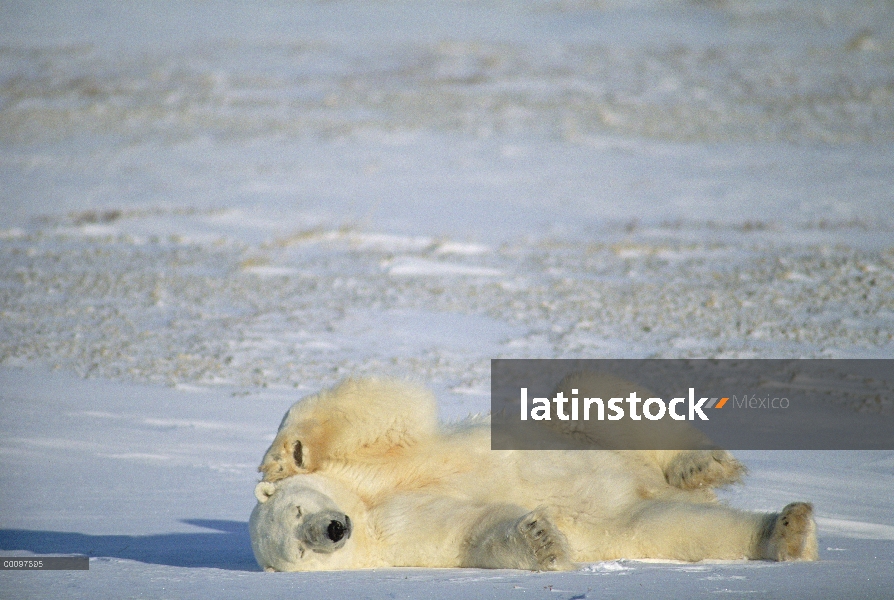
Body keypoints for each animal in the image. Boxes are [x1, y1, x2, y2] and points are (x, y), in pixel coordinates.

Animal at [248, 376, 816, 572]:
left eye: (296, 508)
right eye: (298, 548)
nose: (332, 530)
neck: (365, 507)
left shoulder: (376, 467)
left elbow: (385, 408)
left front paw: (285, 455)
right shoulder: (399, 538)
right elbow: (472, 532)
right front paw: (542, 539)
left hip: (579, 428)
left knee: (594, 396)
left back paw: (698, 465)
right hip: (633, 517)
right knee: (681, 527)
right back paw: (786, 532)